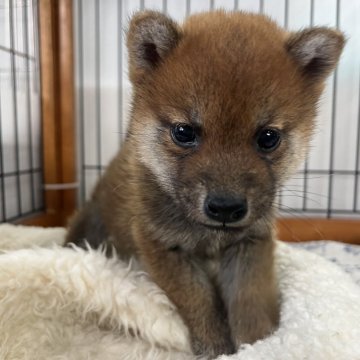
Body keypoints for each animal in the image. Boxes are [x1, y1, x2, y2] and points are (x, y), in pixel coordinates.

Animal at [66, 10, 344, 358]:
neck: (208, 236)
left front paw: (258, 344)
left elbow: (250, 303)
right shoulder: (162, 246)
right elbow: (200, 302)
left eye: (268, 137)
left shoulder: (251, 243)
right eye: (184, 132)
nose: (226, 207)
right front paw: (214, 347)